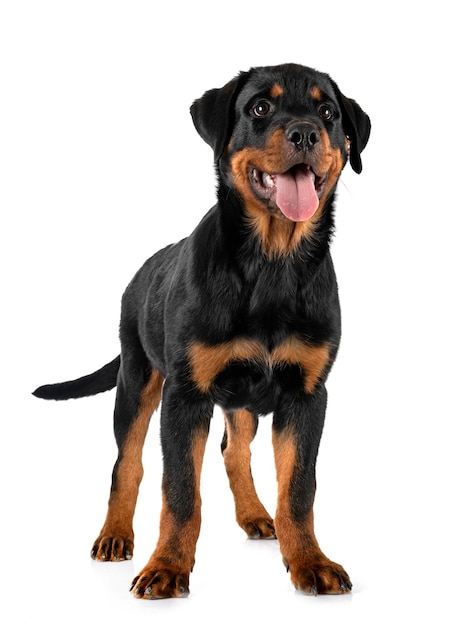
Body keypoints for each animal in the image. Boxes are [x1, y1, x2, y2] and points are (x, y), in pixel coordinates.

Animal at [33, 62, 370, 596]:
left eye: (328, 113)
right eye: (260, 107)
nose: (305, 133)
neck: (272, 264)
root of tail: (141, 272)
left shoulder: (307, 394)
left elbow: (298, 490)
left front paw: (310, 561)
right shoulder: (185, 395)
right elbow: (179, 491)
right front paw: (167, 567)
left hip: (242, 400)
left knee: (234, 450)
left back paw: (255, 515)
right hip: (136, 379)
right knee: (127, 463)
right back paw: (114, 535)